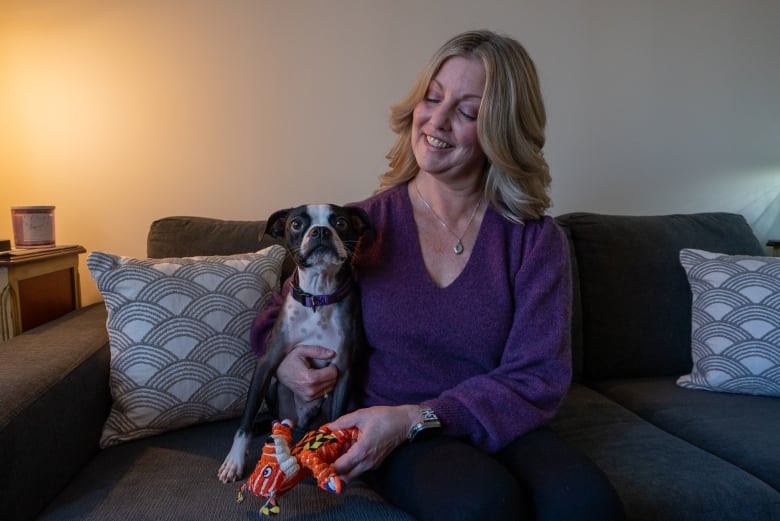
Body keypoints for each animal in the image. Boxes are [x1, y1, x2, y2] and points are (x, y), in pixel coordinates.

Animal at [215, 203, 370, 484]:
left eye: (340, 222)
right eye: (297, 224)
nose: (320, 231)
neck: (318, 297)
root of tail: (299, 421)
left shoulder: (343, 371)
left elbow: (336, 420)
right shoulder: (267, 363)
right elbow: (246, 418)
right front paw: (234, 461)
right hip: (274, 384)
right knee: (272, 417)